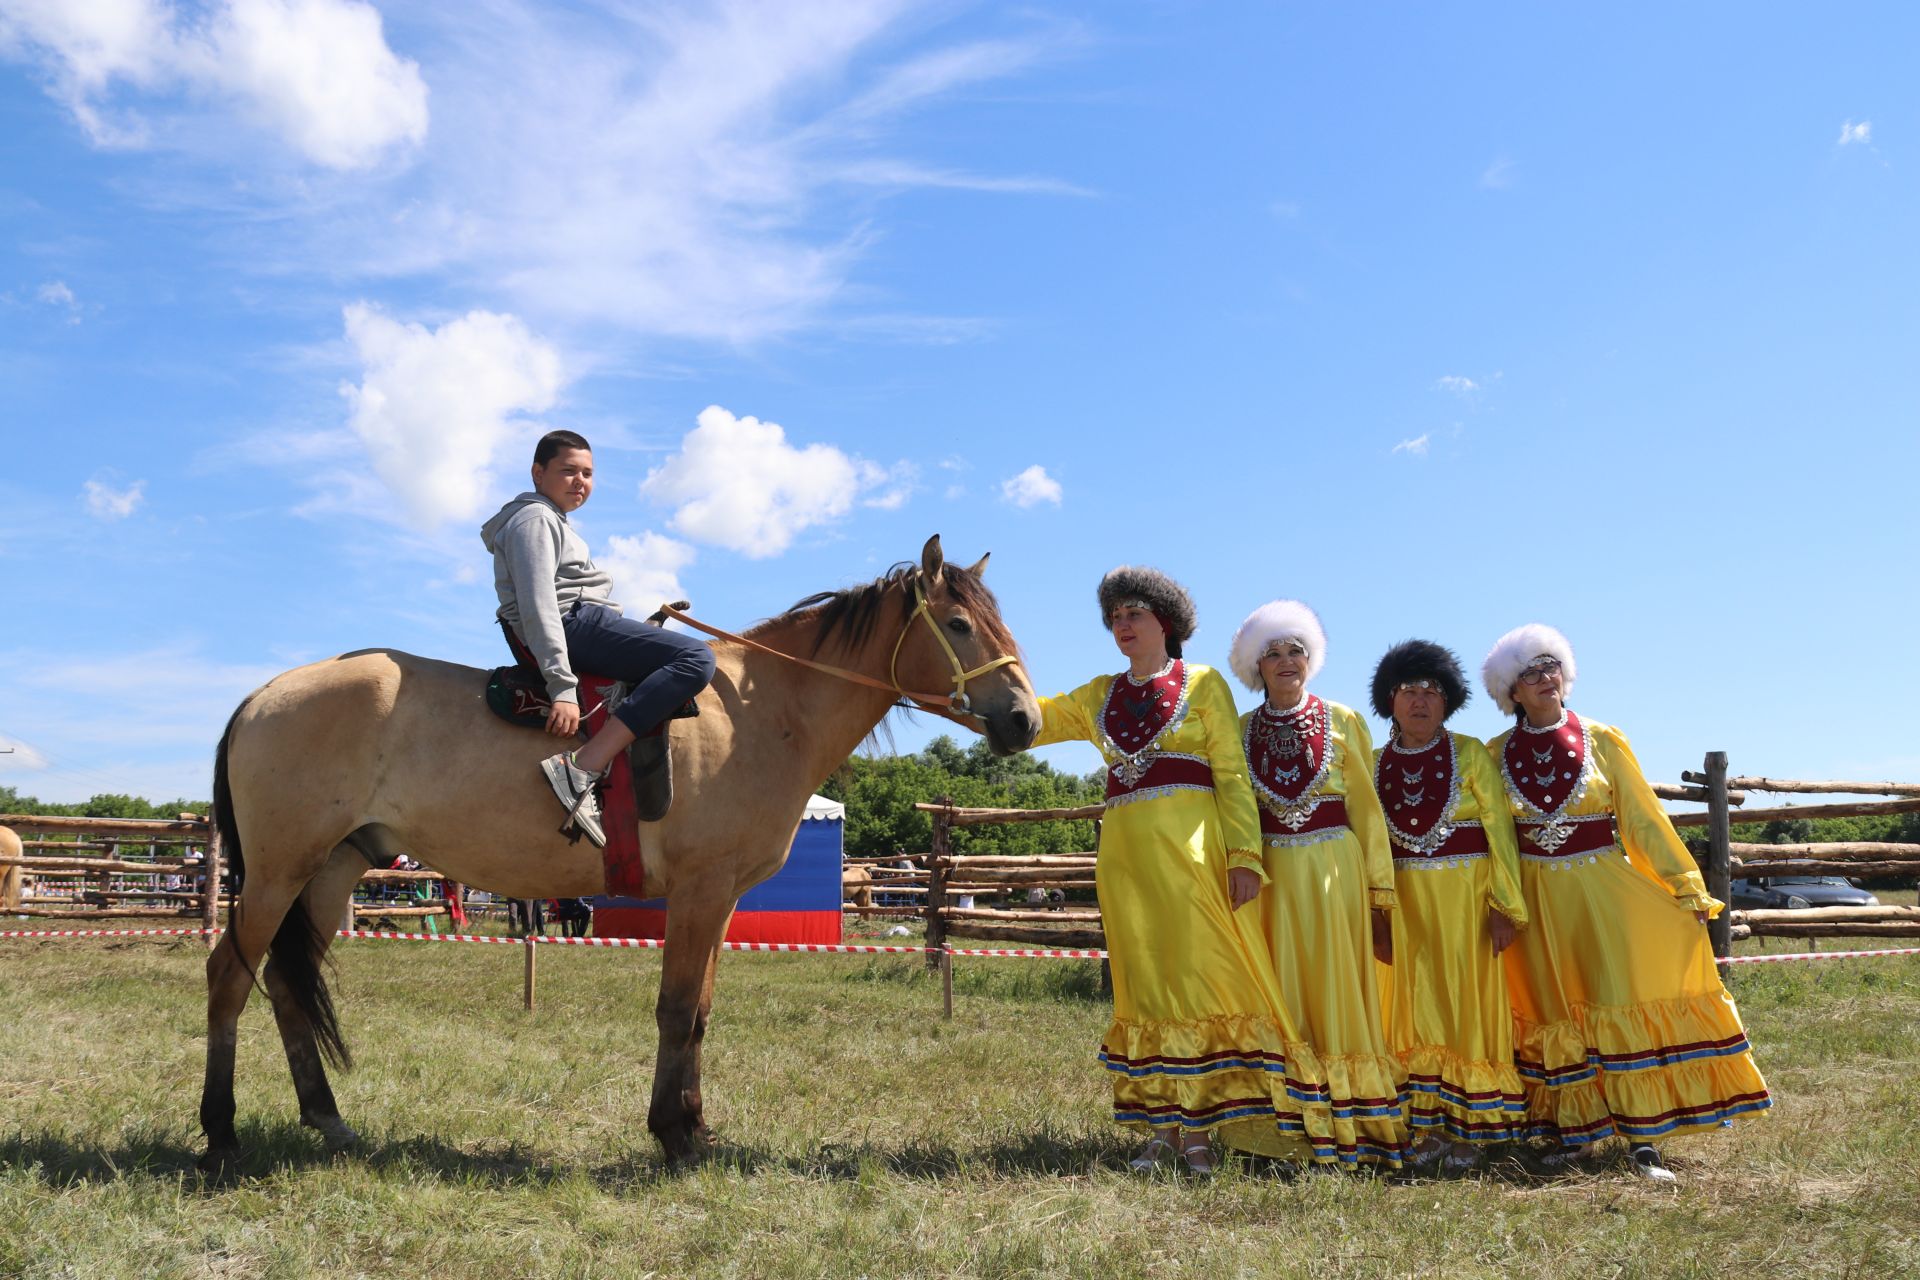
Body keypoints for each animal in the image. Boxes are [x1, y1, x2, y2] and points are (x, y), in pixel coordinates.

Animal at [198, 537, 1036, 1174]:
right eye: (959, 624)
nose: (1025, 719)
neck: (764, 711)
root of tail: (261, 698)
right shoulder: (699, 892)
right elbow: (676, 1010)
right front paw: (672, 1134)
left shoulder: (722, 899)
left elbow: (700, 1011)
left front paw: (696, 1128)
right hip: (277, 874)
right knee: (229, 977)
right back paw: (221, 1131)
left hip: (330, 872)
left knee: (285, 984)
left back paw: (326, 1118)